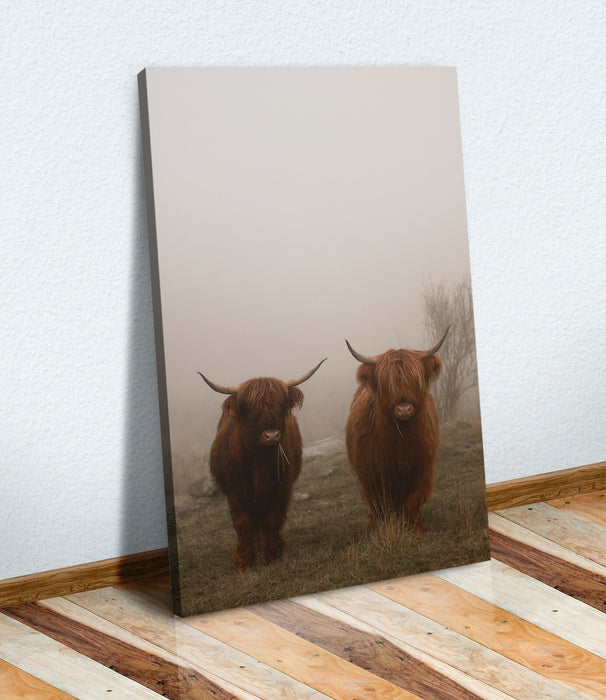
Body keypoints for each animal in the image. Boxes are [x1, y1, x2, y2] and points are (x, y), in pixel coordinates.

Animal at [198, 359, 326, 571]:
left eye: (280, 405)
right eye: (251, 411)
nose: (271, 435)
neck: (259, 461)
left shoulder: (280, 488)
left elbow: (272, 521)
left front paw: (274, 556)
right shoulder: (236, 491)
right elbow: (243, 523)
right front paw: (243, 562)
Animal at [345, 327, 450, 533]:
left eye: (415, 380)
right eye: (387, 384)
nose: (404, 409)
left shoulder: (422, 469)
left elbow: (413, 502)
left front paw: (415, 530)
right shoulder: (371, 474)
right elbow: (379, 505)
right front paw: (379, 530)